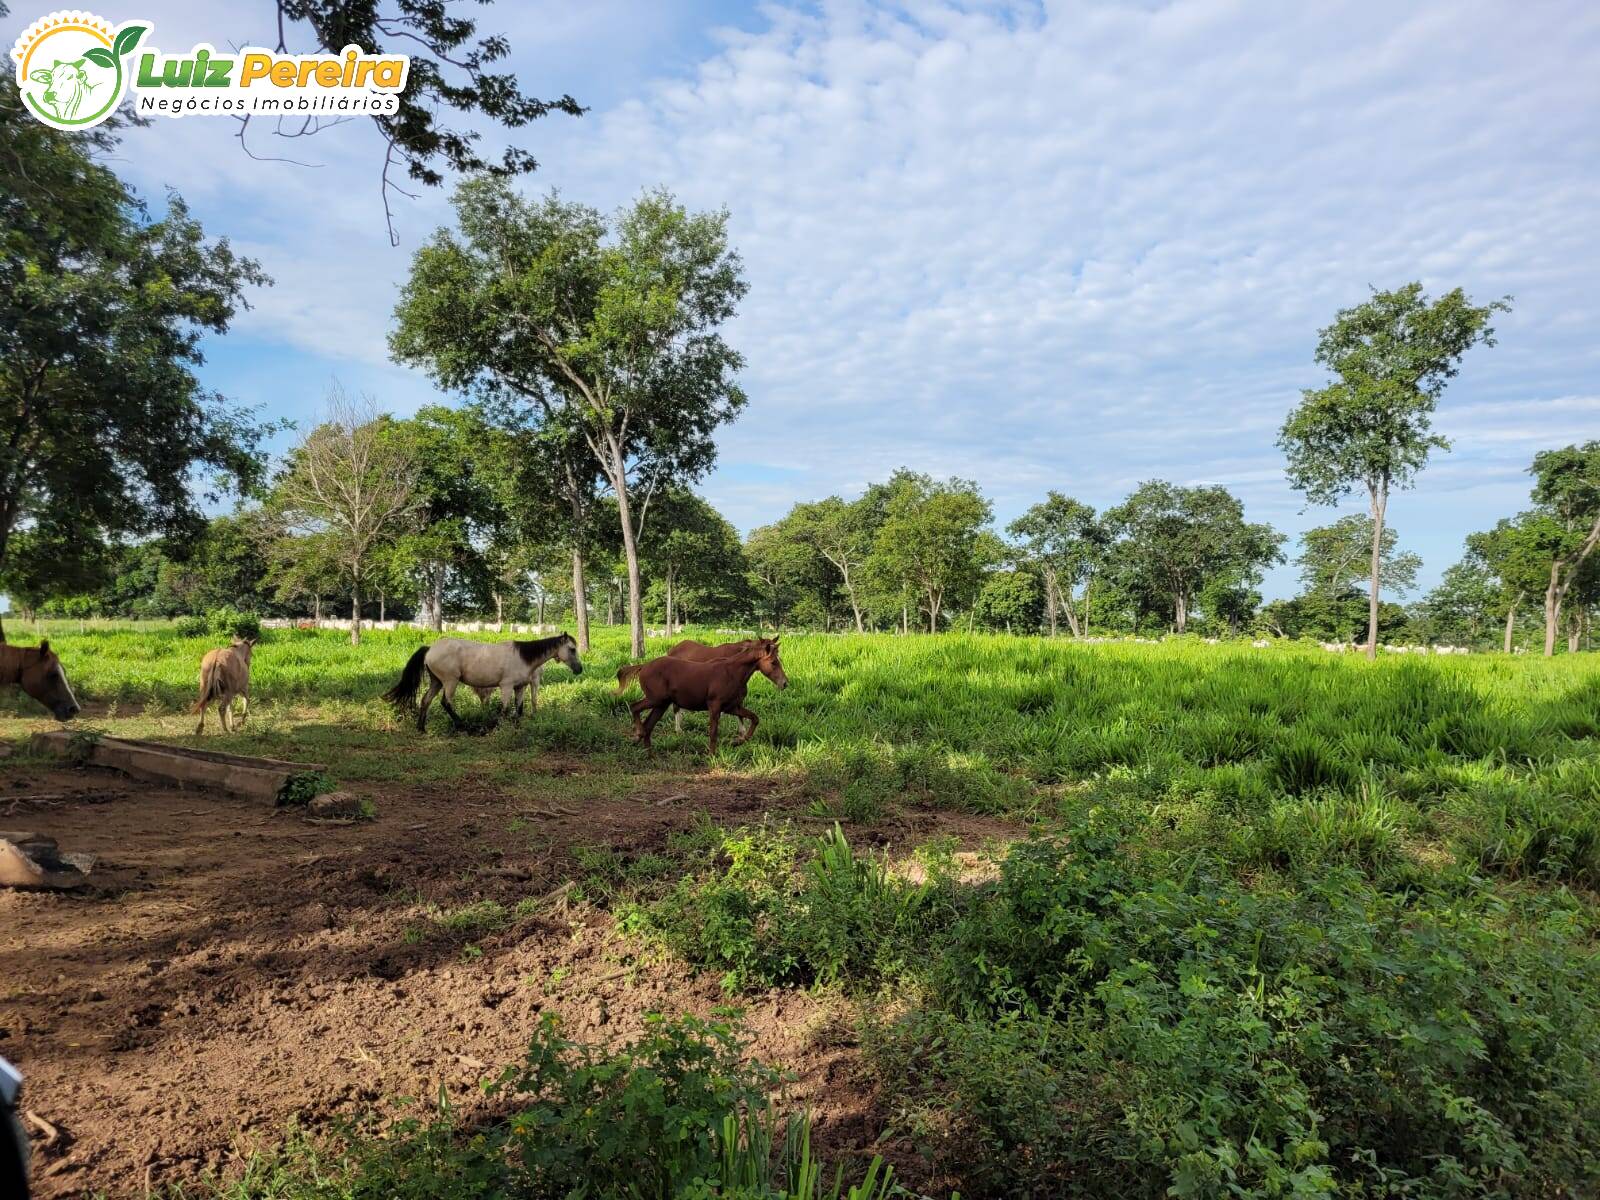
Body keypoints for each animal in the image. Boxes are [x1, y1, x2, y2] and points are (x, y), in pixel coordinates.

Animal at [614, 640, 784, 752]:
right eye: (773, 662)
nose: (784, 683)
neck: (731, 672)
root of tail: (644, 666)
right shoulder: (715, 706)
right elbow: (713, 732)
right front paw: (712, 755)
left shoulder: (731, 707)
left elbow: (754, 718)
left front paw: (737, 742)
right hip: (655, 699)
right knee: (635, 707)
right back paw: (638, 735)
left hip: (661, 704)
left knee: (649, 725)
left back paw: (649, 753)